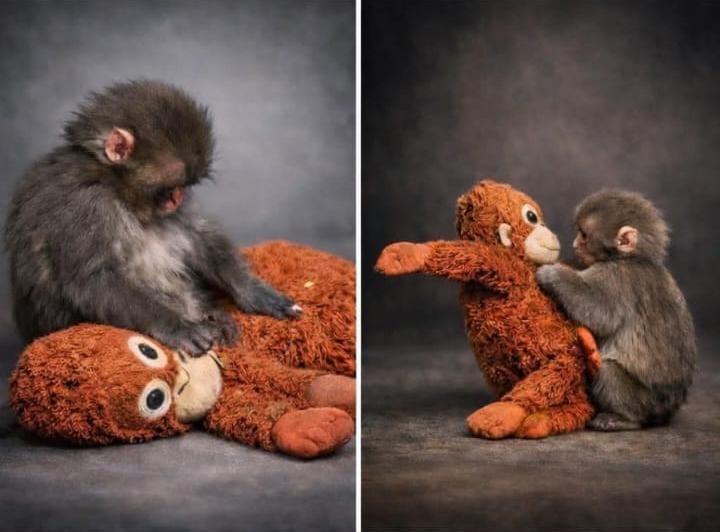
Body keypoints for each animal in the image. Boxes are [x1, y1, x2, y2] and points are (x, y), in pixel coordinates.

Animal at [5, 80, 301, 356]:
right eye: (170, 187)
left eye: (185, 186)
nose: (179, 197)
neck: (111, 181)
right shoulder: (84, 203)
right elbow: (92, 281)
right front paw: (177, 326)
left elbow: (196, 236)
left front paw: (251, 289)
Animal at [535, 190, 696, 431]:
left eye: (584, 235)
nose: (574, 244)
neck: (631, 257)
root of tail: (668, 410)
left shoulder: (617, 277)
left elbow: (598, 311)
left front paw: (553, 274)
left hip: (645, 401)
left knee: (608, 370)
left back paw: (624, 418)